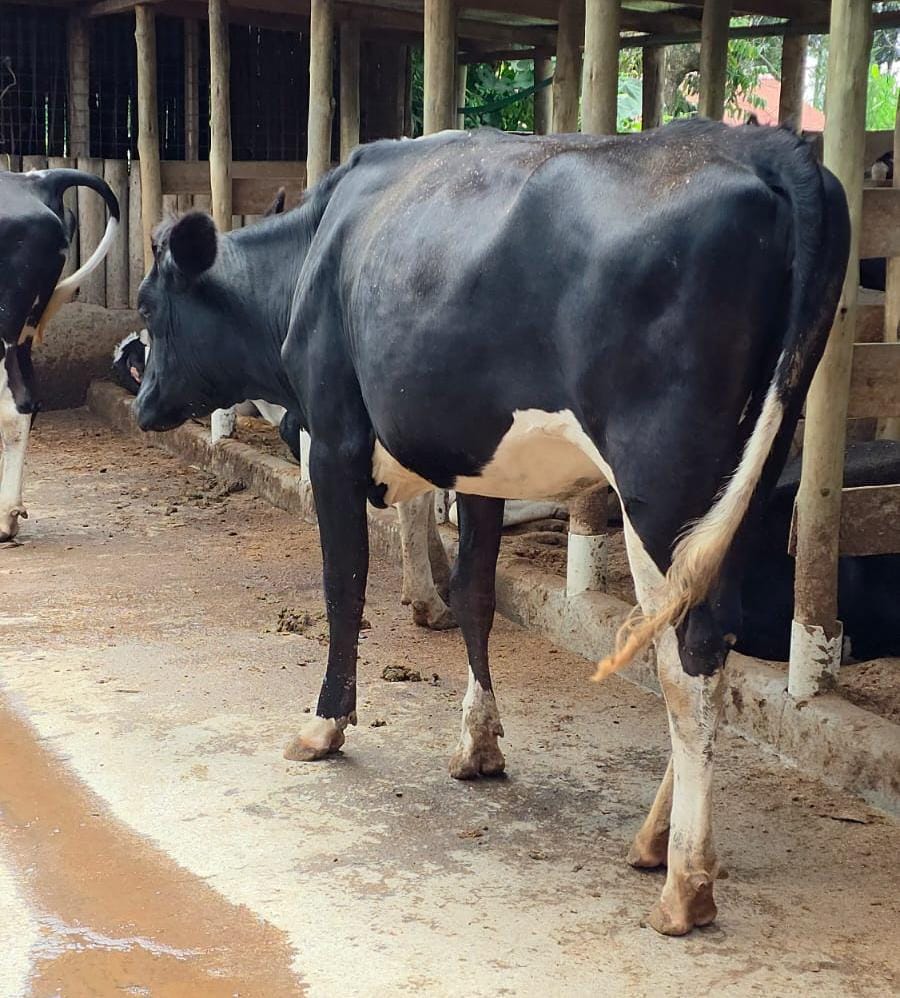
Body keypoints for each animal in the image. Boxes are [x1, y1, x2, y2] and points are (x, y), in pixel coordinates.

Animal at [133, 121, 849, 934]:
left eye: (149, 306)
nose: (142, 401)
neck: (314, 255)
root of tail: (764, 148)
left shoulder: (337, 440)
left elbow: (344, 587)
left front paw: (324, 726)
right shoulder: (481, 469)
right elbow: (474, 596)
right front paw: (477, 742)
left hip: (662, 485)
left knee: (688, 657)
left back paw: (685, 884)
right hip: (752, 473)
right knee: (712, 642)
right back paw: (654, 839)